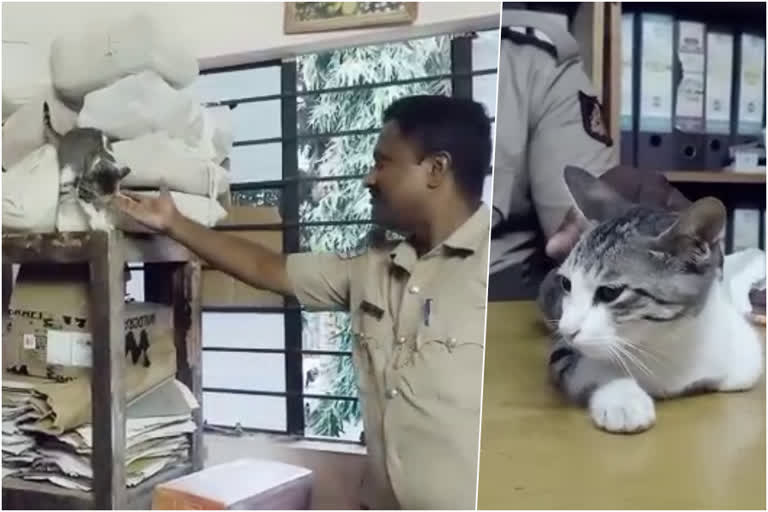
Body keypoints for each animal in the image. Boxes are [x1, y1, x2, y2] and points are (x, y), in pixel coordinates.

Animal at [42, 102, 130, 230]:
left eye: (110, 199)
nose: (103, 202)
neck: (102, 158)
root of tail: (65, 136)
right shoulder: (82, 186)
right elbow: (88, 206)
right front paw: (98, 222)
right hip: (67, 172)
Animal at [540, 166, 760, 434]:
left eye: (610, 292)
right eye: (566, 283)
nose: (567, 330)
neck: (660, 341)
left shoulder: (743, 354)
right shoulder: (563, 349)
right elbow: (587, 367)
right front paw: (622, 399)